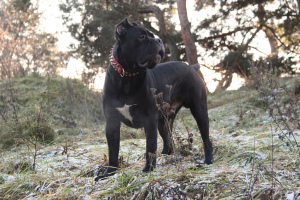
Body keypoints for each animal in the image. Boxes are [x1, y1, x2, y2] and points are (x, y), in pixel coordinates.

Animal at [95, 18, 212, 181]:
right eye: (141, 36)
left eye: (152, 35)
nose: (159, 40)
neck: (127, 77)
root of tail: (191, 67)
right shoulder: (112, 123)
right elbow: (113, 150)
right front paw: (109, 173)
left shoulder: (149, 119)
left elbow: (150, 146)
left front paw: (148, 169)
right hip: (164, 121)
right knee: (169, 141)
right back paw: (166, 155)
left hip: (199, 110)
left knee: (206, 138)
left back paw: (208, 160)